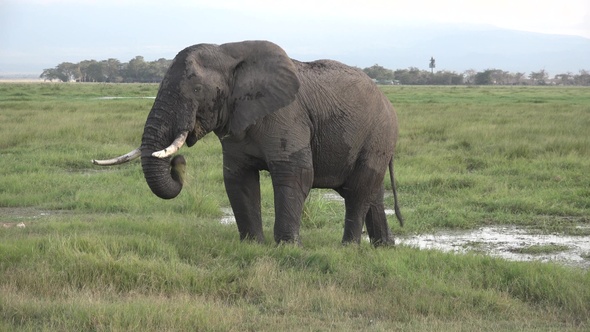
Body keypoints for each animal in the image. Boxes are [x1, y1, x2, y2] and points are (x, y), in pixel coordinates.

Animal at [93, 39, 408, 246]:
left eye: (196, 89)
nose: (178, 163)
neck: (229, 54)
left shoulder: (287, 114)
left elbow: (295, 174)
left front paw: (286, 248)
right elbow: (238, 177)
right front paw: (252, 245)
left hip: (378, 135)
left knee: (358, 191)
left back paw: (349, 248)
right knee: (371, 192)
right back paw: (383, 248)